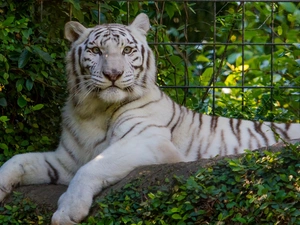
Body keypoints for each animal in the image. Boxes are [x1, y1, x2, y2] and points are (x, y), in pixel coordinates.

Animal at [0, 13, 298, 224]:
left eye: (127, 51)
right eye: (96, 51)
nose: (113, 74)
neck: (93, 110)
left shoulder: (149, 141)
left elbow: (94, 166)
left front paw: (67, 212)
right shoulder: (66, 161)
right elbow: (18, 160)